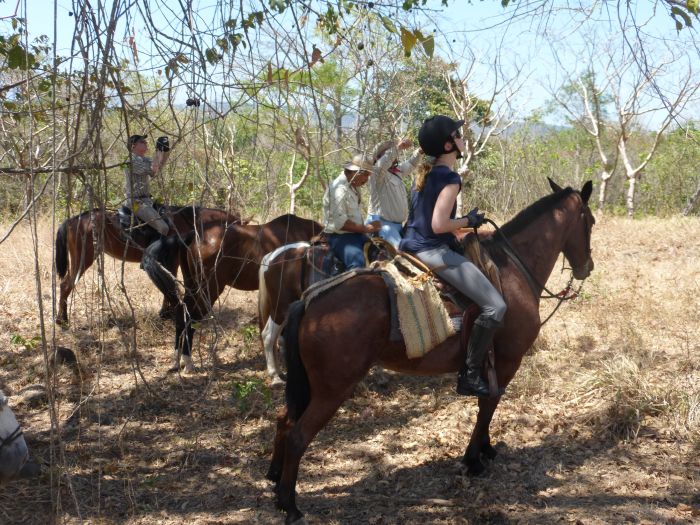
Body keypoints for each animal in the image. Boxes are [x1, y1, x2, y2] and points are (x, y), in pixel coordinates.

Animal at [54, 205, 242, 324]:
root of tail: (73, 220)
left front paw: (167, 312)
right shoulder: (171, 260)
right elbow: (169, 283)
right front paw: (168, 313)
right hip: (83, 259)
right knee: (65, 285)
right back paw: (62, 320)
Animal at [142, 214, 322, 372]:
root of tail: (192, 235)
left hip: (192, 286)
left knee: (182, 314)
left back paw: (177, 360)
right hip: (208, 290)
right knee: (190, 317)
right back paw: (188, 362)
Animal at [266, 178, 592, 520]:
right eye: (591, 222)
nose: (587, 267)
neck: (511, 269)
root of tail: (309, 301)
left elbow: (487, 405)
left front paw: (486, 449)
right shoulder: (506, 361)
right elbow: (488, 405)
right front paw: (473, 459)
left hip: (308, 386)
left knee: (284, 419)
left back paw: (275, 480)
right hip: (332, 390)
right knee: (299, 435)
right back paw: (290, 504)